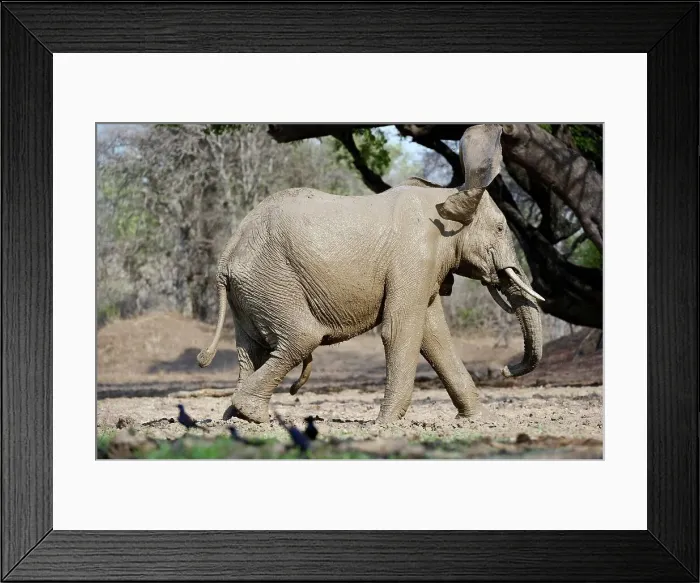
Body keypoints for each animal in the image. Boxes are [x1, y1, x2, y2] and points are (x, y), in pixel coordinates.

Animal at [197, 124, 544, 424]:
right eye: (500, 229)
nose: (505, 370)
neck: (445, 194)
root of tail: (228, 253)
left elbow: (434, 336)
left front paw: (481, 420)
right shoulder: (413, 256)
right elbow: (401, 330)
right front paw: (386, 423)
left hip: (251, 290)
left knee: (253, 349)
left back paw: (237, 418)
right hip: (272, 280)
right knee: (301, 337)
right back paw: (251, 414)